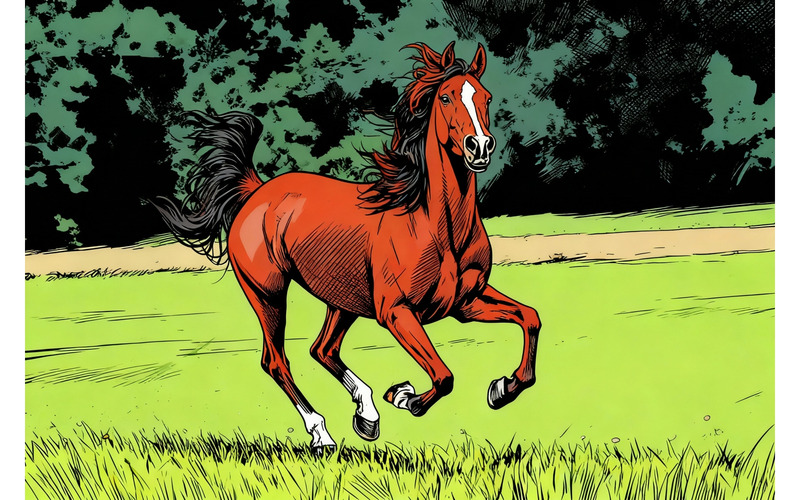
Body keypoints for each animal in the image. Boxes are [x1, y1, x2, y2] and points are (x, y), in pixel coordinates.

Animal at [154, 41, 542, 454]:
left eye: (485, 97)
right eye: (447, 96)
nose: (479, 146)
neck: (438, 229)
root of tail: (254, 192)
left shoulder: (466, 303)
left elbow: (530, 318)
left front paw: (502, 389)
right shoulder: (396, 312)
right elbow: (443, 375)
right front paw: (403, 396)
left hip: (342, 301)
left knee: (322, 349)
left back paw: (366, 416)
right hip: (268, 294)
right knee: (277, 361)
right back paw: (322, 434)